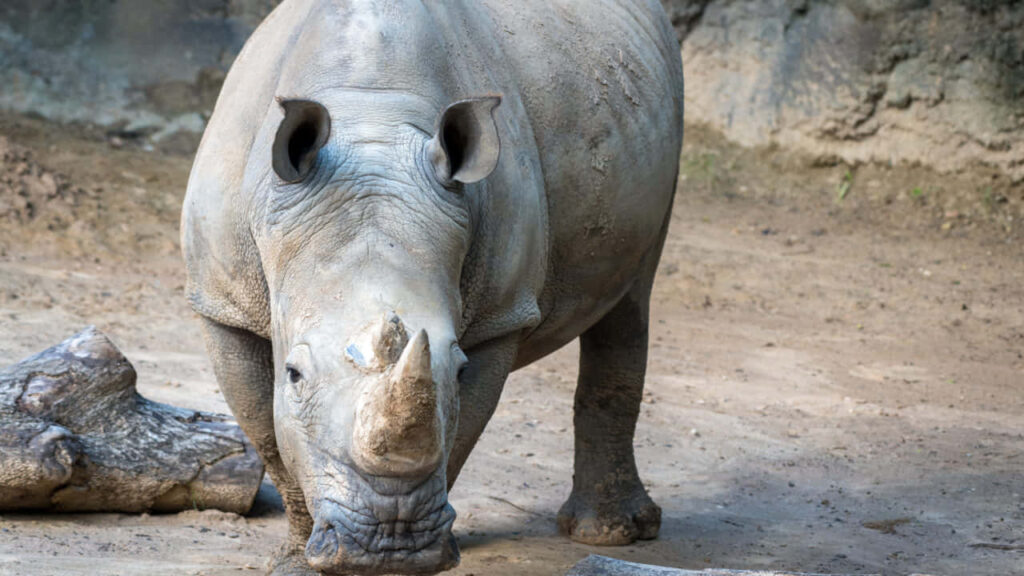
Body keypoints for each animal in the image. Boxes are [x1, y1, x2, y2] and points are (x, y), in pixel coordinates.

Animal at [181, 0, 683, 573]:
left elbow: (457, 436)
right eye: (294, 374)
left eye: (458, 367)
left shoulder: (500, 317)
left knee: (631, 296)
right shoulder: (223, 305)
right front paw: (300, 561)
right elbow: (268, 433)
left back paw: (609, 535)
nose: (387, 546)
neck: (369, 119)